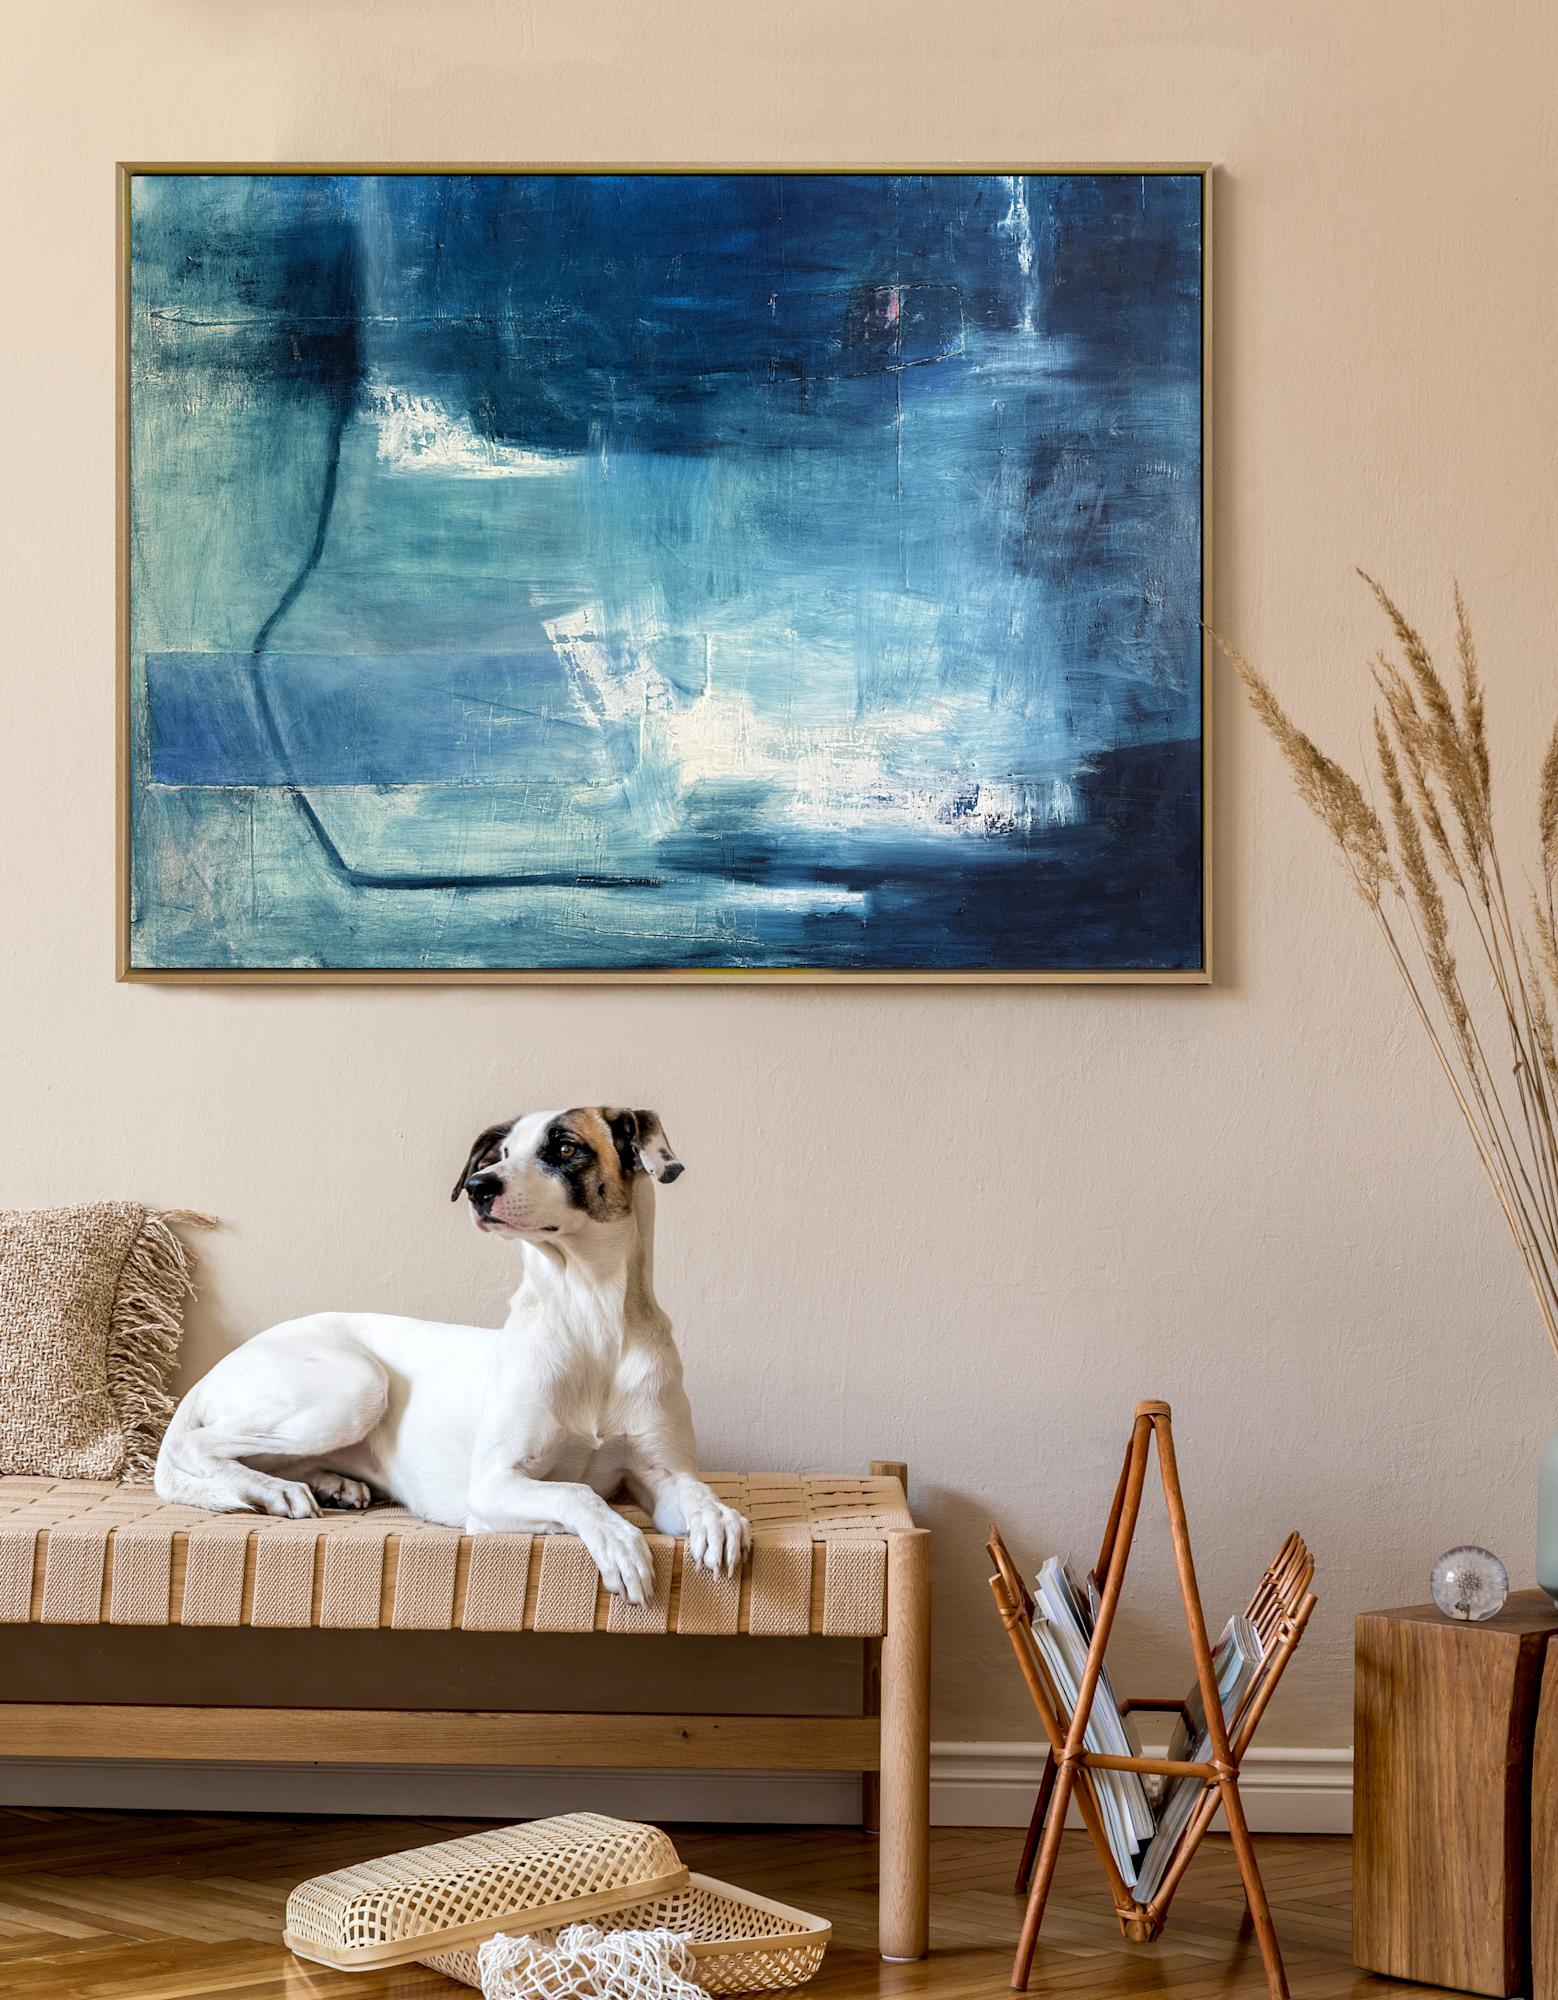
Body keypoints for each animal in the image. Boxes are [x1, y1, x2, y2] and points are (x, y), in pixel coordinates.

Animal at [154, 1108, 750, 1602]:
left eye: (564, 1148)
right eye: (502, 1152)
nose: (478, 1188)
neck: (590, 1318)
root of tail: (225, 1362)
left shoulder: (661, 1474)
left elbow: (695, 1492)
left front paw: (720, 1518)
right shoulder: (491, 1486)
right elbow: (578, 1492)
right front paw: (619, 1540)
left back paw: (329, 1483)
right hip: (356, 1387)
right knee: (197, 1444)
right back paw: (277, 1491)